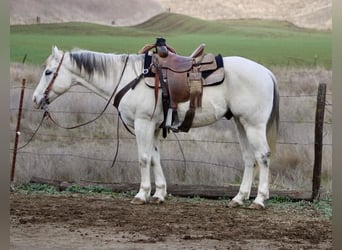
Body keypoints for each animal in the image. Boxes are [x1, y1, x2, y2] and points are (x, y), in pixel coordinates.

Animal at [32, 46, 278, 208]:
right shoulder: (156, 128)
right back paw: (239, 198)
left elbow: (143, 158)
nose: (35, 99)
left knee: (263, 157)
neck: (129, 79)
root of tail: (267, 73)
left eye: (48, 72)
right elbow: (154, 158)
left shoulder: (144, 124)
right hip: (240, 123)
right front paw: (159, 194)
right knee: (249, 158)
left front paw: (141, 194)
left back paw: (259, 199)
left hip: (253, 125)